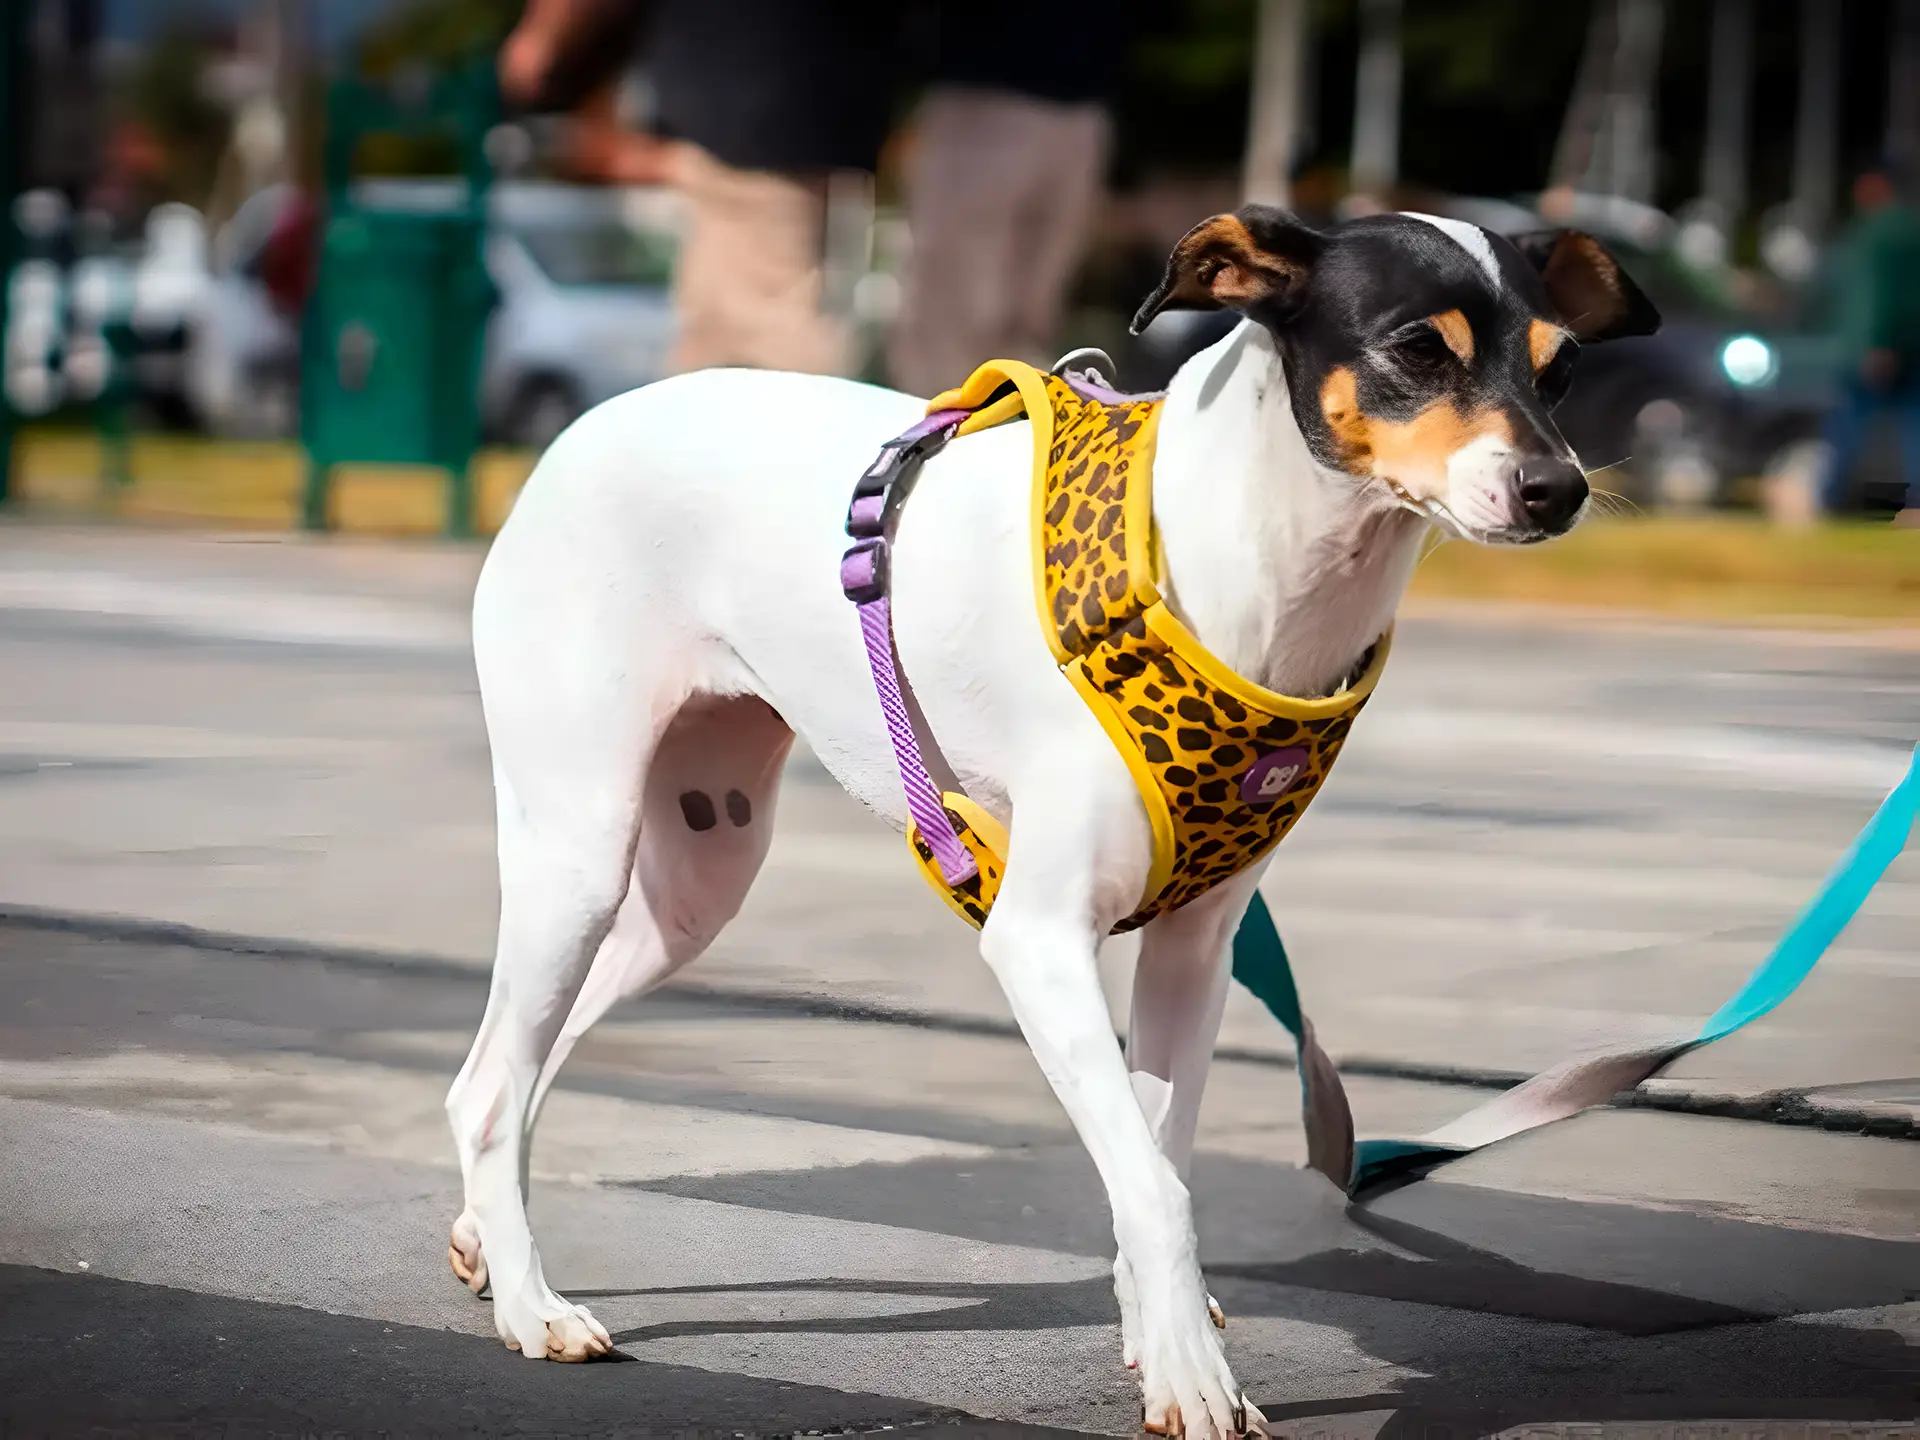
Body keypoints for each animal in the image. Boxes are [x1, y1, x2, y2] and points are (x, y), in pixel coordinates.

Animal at [441, 208, 1658, 1436]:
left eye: (1561, 367)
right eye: (1416, 349)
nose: (1557, 488)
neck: (1241, 572)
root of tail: (585, 426)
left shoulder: (1195, 954)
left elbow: (1154, 1161)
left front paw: (1157, 1333)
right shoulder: (1036, 940)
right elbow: (1156, 1187)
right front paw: (1193, 1376)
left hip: (697, 876)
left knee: (513, 1064)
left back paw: (488, 1238)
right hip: (582, 854)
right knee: (494, 1085)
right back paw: (536, 1308)